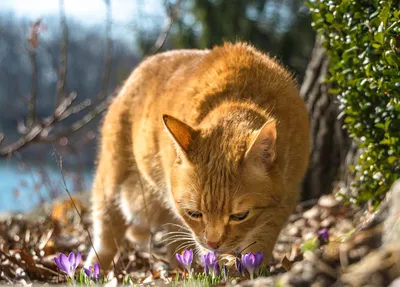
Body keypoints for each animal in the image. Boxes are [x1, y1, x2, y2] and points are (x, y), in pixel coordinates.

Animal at [83, 41, 310, 272]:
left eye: (240, 216)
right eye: (194, 214)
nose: (213, 242)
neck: (241, 95)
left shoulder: (284, 201)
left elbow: (259, 246)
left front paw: (251, 271)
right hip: (111, 184)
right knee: (106, 237)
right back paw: (93, 270)